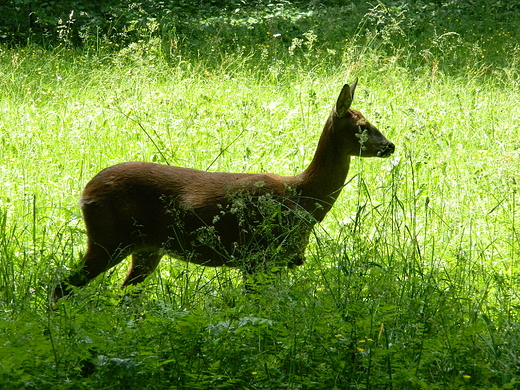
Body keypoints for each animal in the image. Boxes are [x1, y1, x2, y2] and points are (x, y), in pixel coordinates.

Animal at [52, 79, 394, 304]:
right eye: (363, 126)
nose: (390, 146)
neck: (301, 195)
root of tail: (85, 192)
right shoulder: (256, 256)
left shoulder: (278, 262)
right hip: (109, 238)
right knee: (61, 287)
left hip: (146, 249)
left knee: (124, 296)